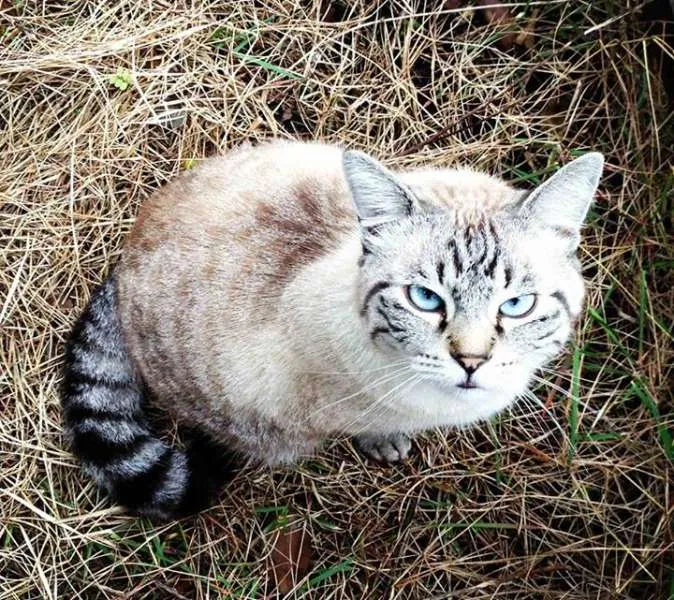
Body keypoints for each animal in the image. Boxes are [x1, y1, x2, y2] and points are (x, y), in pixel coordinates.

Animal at [60, 139, 600, 516]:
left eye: (517, 305)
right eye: (425, 299)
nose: (472, 361)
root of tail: (123, 265)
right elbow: (371, 427)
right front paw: (385, 444)